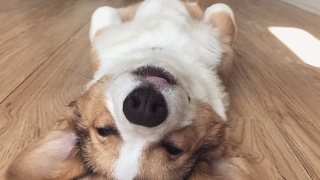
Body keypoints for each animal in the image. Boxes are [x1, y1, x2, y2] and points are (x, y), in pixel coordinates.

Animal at [5, 0, 255, 179]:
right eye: (105, 130)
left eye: (173, 148)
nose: (144, 107)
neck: (159, 47)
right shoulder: (103, 26)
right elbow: (104, 11)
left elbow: (220, 8)